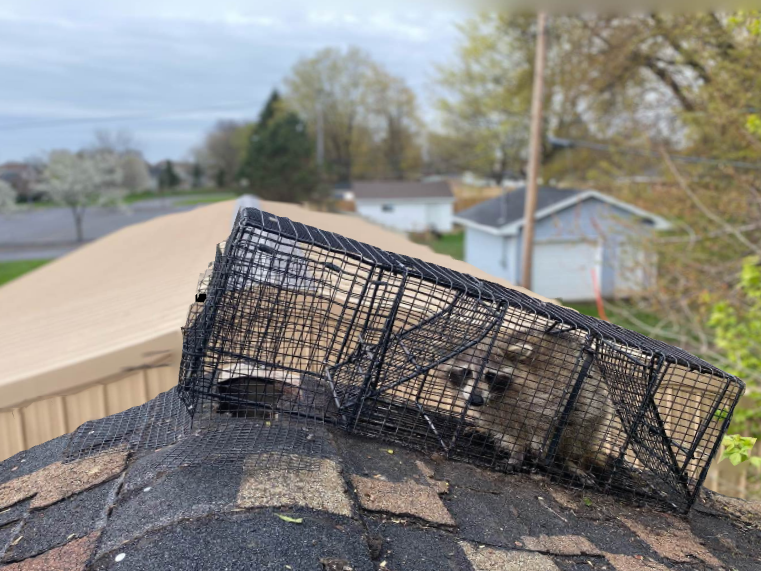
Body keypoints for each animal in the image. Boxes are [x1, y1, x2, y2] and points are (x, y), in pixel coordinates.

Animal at [440, 327, 617, 482]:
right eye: (467, 372)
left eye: (490, 375)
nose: (476, 400)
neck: (498, 397)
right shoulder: (495, 412)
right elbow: (509, 432)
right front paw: (516, 453)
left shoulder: (548, 392)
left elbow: (546, 425)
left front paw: (537, 454)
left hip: (594, 408)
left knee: (577, 429)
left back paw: (568, 461)